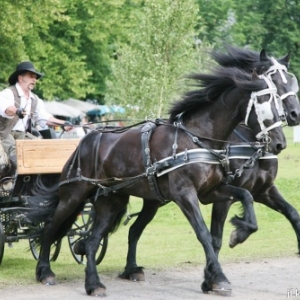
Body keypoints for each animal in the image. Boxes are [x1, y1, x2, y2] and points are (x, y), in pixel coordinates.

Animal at [29, 65, 286, 296]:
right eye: (266, 102)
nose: (280, 143)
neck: (197, 139)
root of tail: (85, 140)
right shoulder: (185, 195)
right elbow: (203, 233)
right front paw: (219, 278)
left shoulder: (211, 192)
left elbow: (246, 196)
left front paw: (240, 233)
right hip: (73, 195)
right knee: (50, 228)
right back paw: (45, 272)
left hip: (111, 201)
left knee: (93, 241)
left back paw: (94, 284)